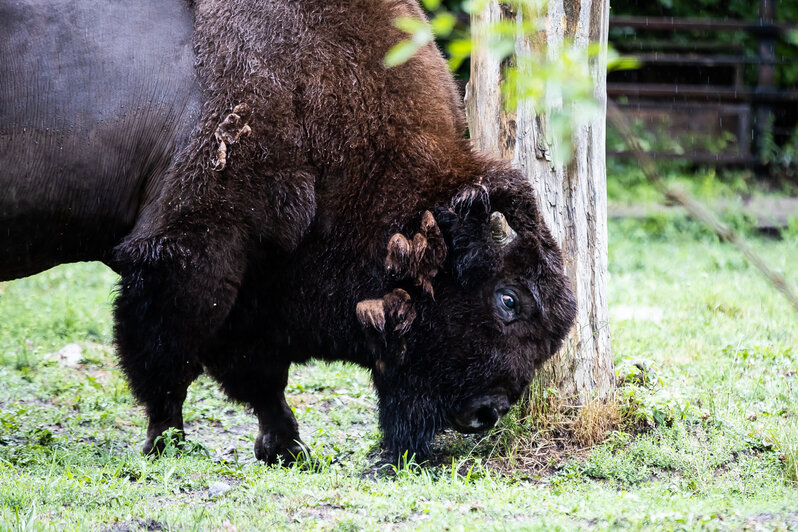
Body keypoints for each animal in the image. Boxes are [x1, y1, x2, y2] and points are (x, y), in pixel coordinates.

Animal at [0, 0, 576, 462]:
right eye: (508, 298)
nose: (487, 412)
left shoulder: (255, 283)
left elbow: (259, 375)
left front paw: (286, 448)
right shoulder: (191, 252)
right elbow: (168, 358)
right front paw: (167, 443)